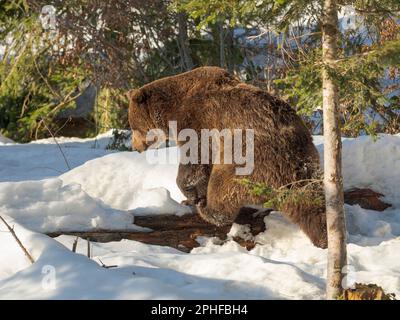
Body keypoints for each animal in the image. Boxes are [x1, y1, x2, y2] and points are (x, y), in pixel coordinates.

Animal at [126, 66, 326, 249]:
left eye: (133, 125)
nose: (136, 147)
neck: (172, 108)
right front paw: (190, 197)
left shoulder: (198, 120)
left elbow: (196, 159)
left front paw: (190, 193)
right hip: (307, 160)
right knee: (312, 205)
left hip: (247, 158)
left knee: (223, 187)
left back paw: (208, 210)